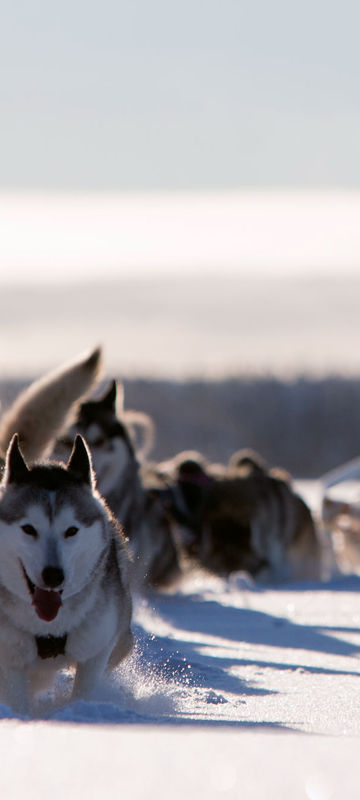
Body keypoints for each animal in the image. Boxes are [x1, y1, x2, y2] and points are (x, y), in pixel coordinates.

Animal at [0, 434, 132, 716]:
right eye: (29, 529)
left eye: (71, 530)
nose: (53, 576)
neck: (49, 629)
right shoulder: (9, 659)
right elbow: (16, 700)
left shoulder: (97, 650)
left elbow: (84, 690)